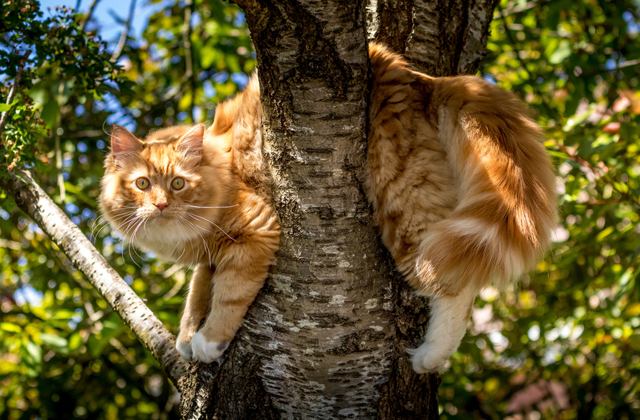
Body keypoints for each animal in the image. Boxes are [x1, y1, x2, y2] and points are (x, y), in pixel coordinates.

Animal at [99, 41, 556, 370]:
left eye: (178, 183)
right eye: (142, 184)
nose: (160, 205)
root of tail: (418, 76)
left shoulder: (255, 231)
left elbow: (227, 295)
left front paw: (209, 341)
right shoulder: (208, 255)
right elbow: (197, 294)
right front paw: (186, 338)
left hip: (403, 209)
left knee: (456, 287)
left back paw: (430, 357)